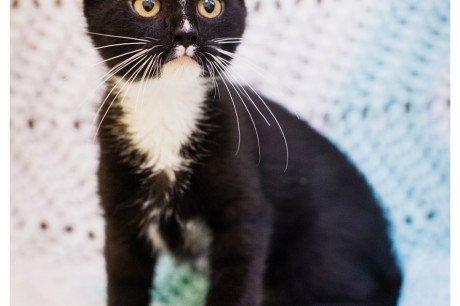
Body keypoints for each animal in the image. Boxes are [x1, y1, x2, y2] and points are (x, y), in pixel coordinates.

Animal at [84, 0, 400, 306]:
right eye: (146, 6)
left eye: (209, 6)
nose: (186, 35)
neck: (167, 112)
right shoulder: (120, 222)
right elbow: (124, 282)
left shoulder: (245, 208)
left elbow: (238, 278)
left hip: (320, 257)